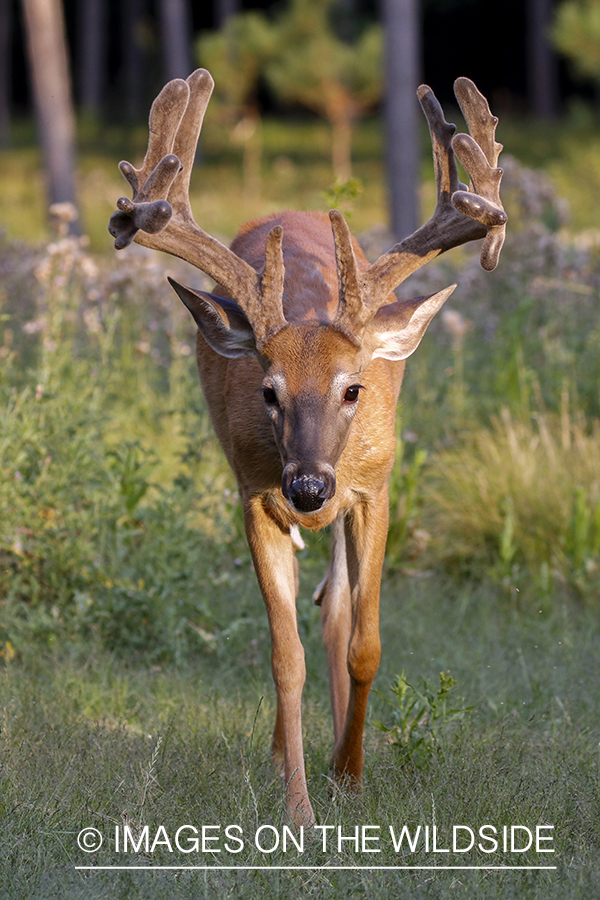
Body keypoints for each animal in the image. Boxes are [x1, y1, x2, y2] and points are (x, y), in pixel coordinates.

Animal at [109, 68, 506, 828]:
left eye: (354, 388)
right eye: (268, 391)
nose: (310, 487)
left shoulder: (375, 488)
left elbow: (364, 642)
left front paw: (349, 777)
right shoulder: (254, 493)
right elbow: (282, 655)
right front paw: (298, 808)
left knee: (338, 615)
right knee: (301, 620)